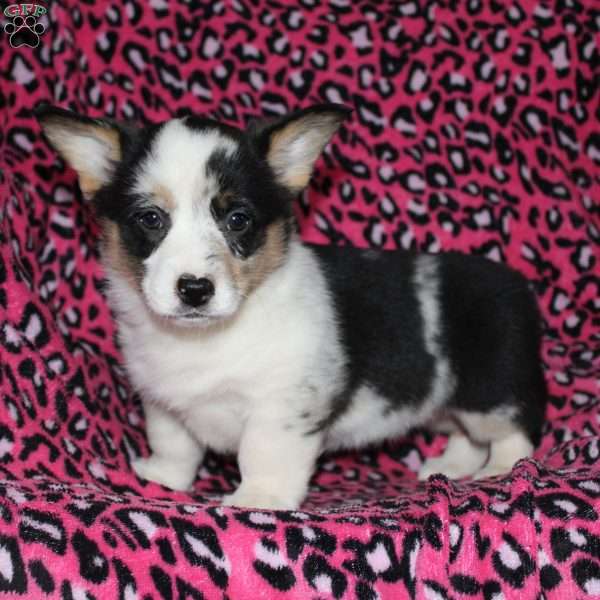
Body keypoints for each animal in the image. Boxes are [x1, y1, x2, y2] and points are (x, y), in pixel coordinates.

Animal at [35, 105, 548, 508]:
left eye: (238, 220)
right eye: (150, 219)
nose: (195, 289)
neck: (207, 336)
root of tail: (517, 284)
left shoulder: (282, 405)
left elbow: (262, 453)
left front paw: (258, 498)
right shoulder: (163, 401)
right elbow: (175, 445)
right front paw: (161, 477)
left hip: (490, 391)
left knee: (516, 430)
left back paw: (499, 472)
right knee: (467, 434)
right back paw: (453, 465)